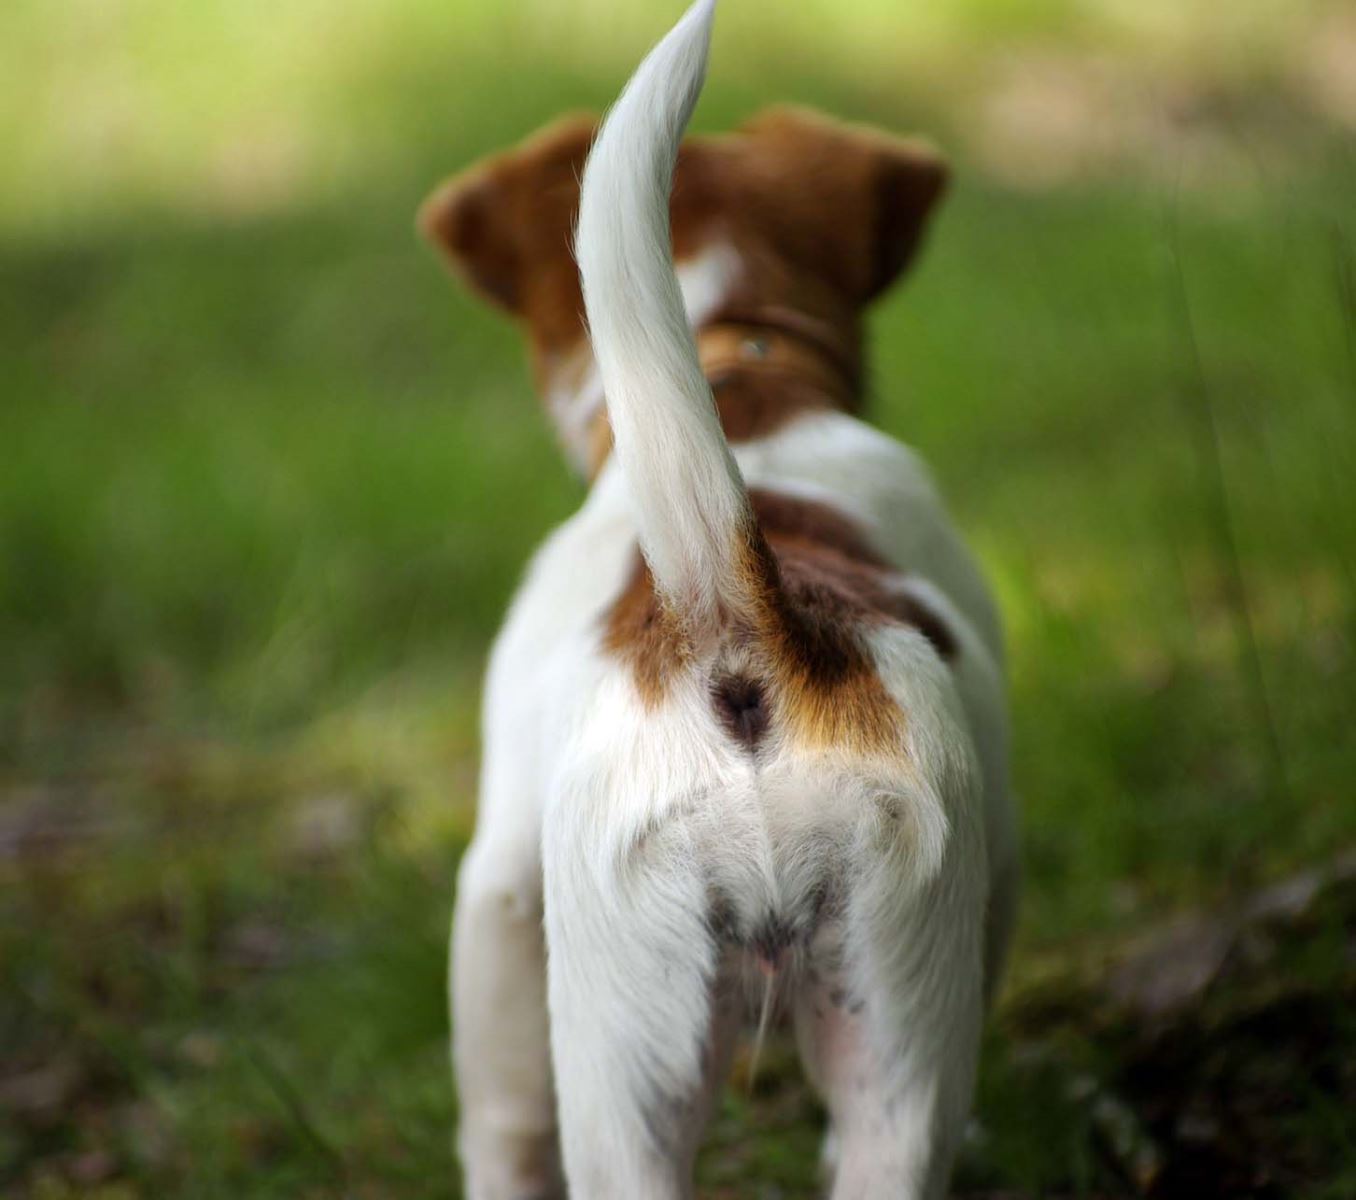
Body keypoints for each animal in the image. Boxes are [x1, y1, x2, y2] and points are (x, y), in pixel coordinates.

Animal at [420, 4, 1019, 1193]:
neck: (743, 379)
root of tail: (741, 617)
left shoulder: (499, 877)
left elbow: (499, 1113)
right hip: (893, 1048)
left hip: (620, 1059)